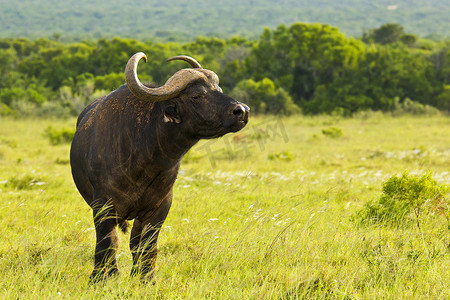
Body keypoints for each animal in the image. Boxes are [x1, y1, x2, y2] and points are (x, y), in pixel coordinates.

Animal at [69, 52, 250, 282]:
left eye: (218, 89)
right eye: (196, 96)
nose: (242, 110)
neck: (144, 157)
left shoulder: (160, 205)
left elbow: (147, 245)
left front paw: (146, 278)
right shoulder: (102, 204)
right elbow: (107, 242)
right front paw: (101, 278)